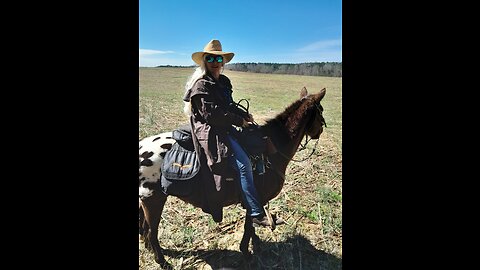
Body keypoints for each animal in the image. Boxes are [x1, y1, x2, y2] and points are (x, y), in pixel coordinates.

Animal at [139, 87, 326, 268]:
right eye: (321, 112)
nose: (321, 130)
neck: (273, 149)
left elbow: (251, 226)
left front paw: (256, 244)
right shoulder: (256, 198)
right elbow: (248, 227)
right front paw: (247, 253)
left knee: (144, 228)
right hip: (154, 200)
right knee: (151, 231)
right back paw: (162, 261)